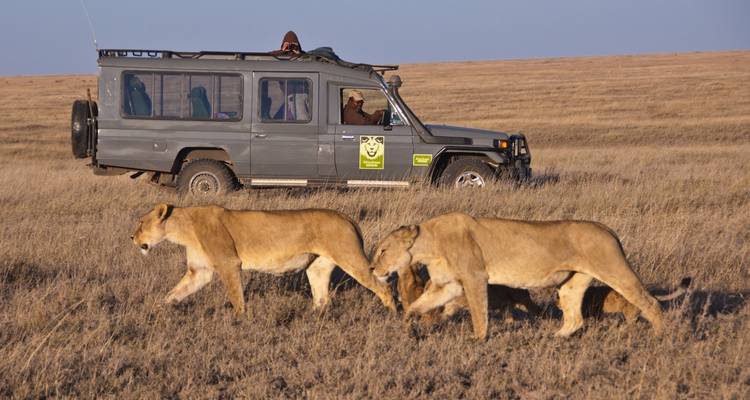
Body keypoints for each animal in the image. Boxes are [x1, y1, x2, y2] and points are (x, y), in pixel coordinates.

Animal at [131, 204, 395, 315]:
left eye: (142, 222)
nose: (132, 237)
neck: (182, 229)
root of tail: (346, 217)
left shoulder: (228, 263)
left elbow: (236, 296)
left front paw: (239, 320)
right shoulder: (200, 271)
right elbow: (175, 293)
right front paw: (157, 311)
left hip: (350, 257)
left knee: (383, 287)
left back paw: (391, 316)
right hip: (318, 267)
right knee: (322, 299)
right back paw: (312, 318)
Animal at [371, 212, 666, 339]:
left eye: (383, 250)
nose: (373, 268)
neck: (429, 245)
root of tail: (606, 228)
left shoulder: (475, 277)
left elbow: (479, 312)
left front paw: (479, 339)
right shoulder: (449, 285)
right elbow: (422, 304)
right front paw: (407, 321)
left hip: (614, 269)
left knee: (650, 302)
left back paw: (661, 336)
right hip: (572, 283)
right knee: (575, 319)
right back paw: (554, 338)